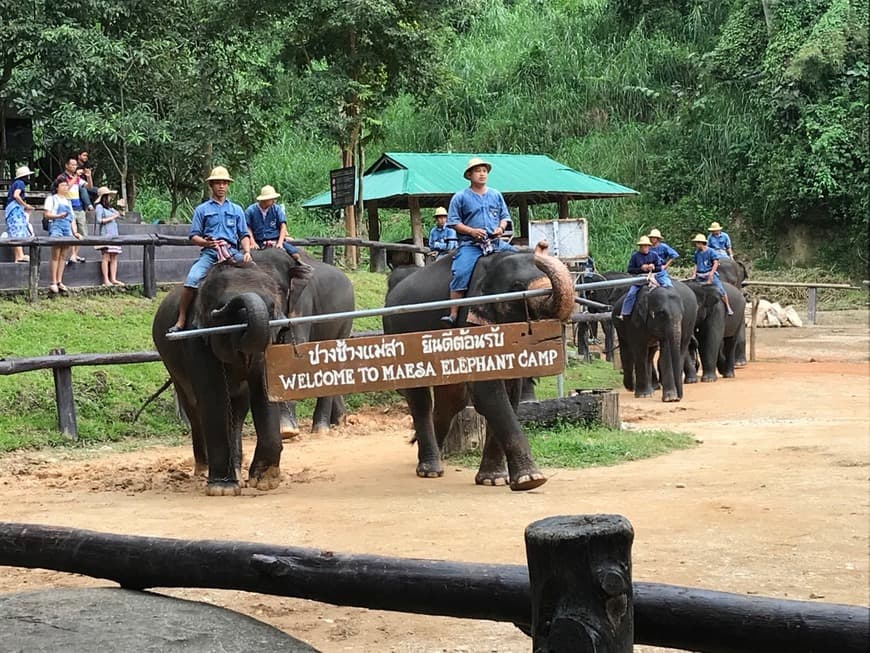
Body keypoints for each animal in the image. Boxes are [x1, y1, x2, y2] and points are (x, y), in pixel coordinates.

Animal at [152, 250, 310, 494]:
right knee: (193, 407)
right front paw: (222, 488)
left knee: (237, 410)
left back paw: (235, 470)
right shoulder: (196, 338)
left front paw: (264, 482)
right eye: (220, 310)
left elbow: (264, 388)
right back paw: (203, 471)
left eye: (272, 307)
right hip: (171, 361)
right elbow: (213, 395)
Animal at [384, 244, 580, 488]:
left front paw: (493, 480)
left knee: (451, 400)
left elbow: (510, 392)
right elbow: (488, 393)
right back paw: (429, 470)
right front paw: (531, 480)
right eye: (517, 288)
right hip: (401, 336)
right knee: (421, 399)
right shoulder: (469, 321)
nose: (542, 246)